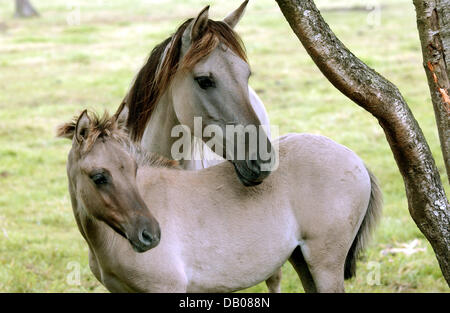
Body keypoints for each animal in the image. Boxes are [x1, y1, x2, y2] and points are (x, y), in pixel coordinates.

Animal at [55, 110, 380, 292]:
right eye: (99, 176)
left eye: (133, 170)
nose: (150, 235)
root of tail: (356, 160)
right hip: (301, 258)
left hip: (325, 263)